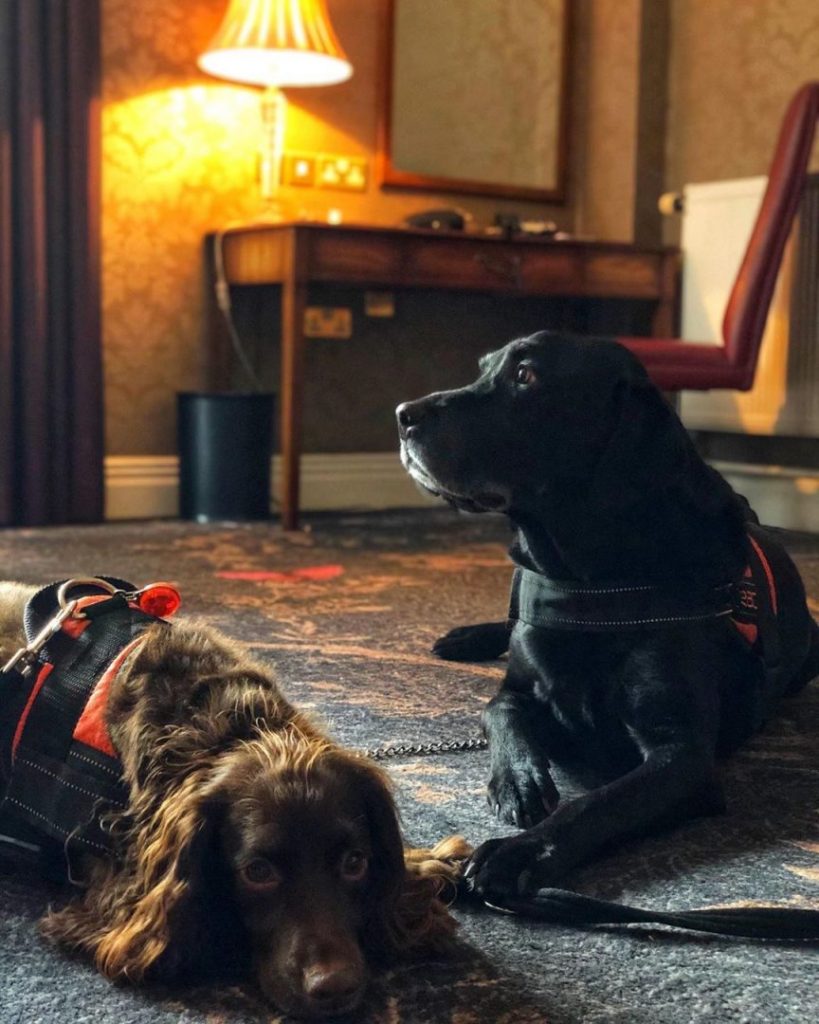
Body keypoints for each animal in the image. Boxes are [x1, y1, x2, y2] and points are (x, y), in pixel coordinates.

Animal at [397, 331, 818, 901]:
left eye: (526, 376)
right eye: (483, 368)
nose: (403, 414)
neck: (588, 579)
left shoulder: (682, 756)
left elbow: (597, 804)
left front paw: (520, 852)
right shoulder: (519, 688)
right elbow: (500, 712)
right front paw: (518, 781)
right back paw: (464, 637)